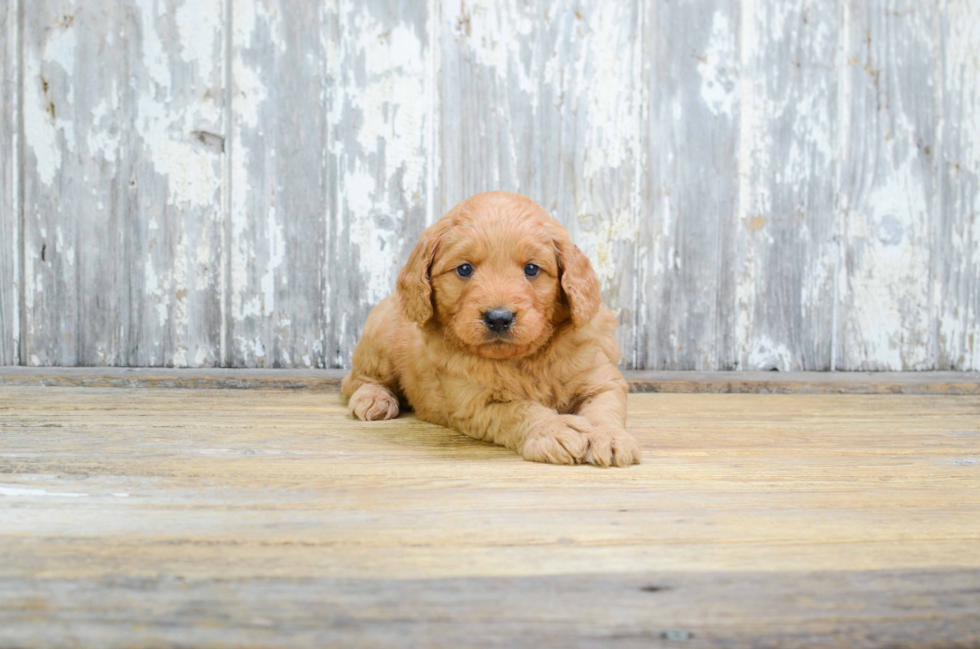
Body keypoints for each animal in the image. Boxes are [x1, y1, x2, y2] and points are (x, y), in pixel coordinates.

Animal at [340, 191, 640, 466]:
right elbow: (521, 411)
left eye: (532, 269)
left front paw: (609, 437)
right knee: (357, 380)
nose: (498, 318)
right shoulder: (475, 401)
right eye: (464, 269)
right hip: (379, 339)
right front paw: (553, 430)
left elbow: (604, 409)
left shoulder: (601, 379)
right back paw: (374, 399)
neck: (523, 360)